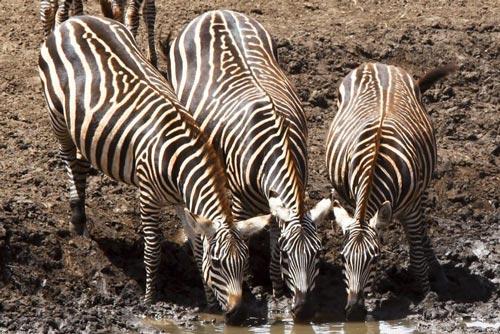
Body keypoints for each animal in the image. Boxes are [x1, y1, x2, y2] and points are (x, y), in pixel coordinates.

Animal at [37, 15, 274, 324]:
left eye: (244, 263)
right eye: (218, 263)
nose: (236, 314)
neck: (180, 164)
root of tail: (75, 20)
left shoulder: (185, 202)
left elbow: (197, 246)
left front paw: (209, 301)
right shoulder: (148, 196)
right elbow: (153, 249)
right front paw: (150, 298)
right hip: (57, 115)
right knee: (69, 159)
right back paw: (77, 219)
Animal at [161, 9, 332, 320]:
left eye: (317, 253)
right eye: (290, 255)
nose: (303, 311)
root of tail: (215, 12)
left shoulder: (280, 197)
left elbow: (275, 233)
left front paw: (276, 287)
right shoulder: (241, 202)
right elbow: (244, 238)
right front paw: (250, 285)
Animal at [324, 61, 458, 320]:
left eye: (375, 259)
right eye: (343, 258)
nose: (354, 313)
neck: (376, 163)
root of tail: (377, 63)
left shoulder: (411, 209)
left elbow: (416, 254)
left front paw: (427, 298)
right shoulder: (353, 203)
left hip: (420, 191)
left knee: (422, 233)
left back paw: (438, 276)